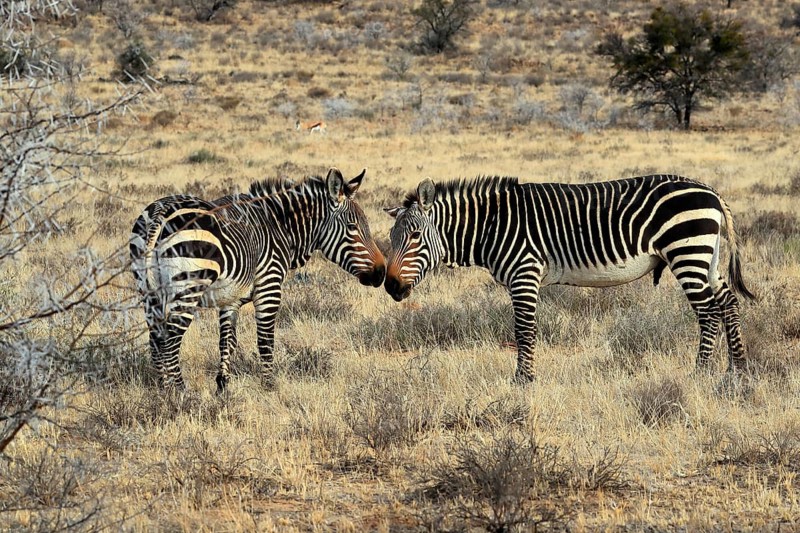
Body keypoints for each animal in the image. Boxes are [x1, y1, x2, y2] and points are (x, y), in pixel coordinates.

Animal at [130, 168, 385, 392]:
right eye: (352, 227)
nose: (382, 272)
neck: (280, 226)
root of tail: (161, 211)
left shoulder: (230, 298)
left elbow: (227, 341)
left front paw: (223, 386)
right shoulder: (269, 287)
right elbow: (265, 341)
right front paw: (269, 386)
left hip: (148, 290)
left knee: (156, 338)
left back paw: (163, 390)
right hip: (188, 286)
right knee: (170, 340)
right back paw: (180, 393)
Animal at [383, 174, 754, 383]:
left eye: (415, 236)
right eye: (391, 236)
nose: (390, 286)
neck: (492, 226)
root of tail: (711, 191)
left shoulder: (525, 273)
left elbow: (524, 329)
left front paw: (523, 380)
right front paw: (524, 377)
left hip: (687, 252)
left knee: (709, 313)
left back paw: (700, 373)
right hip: (708, 257)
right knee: (728, 303)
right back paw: (736, 370)